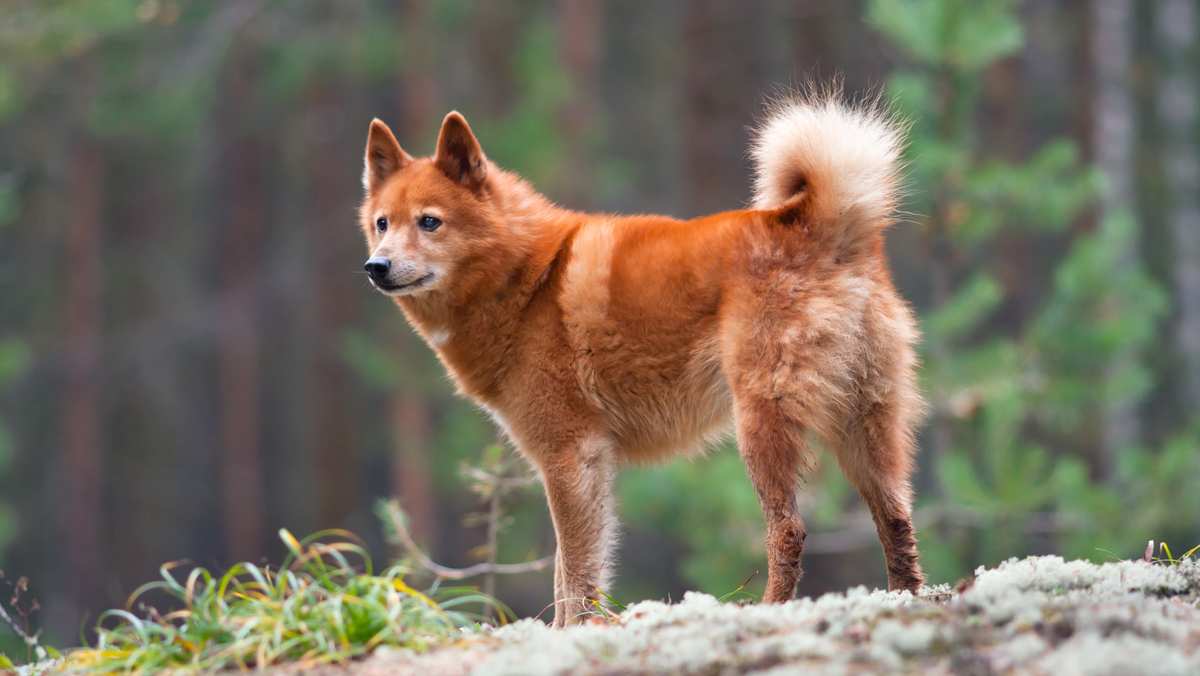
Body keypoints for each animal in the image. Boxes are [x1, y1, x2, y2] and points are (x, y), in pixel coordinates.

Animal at [355, 92, 926, 629]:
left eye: (430, 222)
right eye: (382, 223)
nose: (375, 267)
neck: (527, 278)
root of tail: (819, 225)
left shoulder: (570, 456)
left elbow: (575, 570)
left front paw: (573, 630)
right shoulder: (584, 464)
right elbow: (567, 568)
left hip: (762, 425)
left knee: (789, 530)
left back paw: (769, 606)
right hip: (864, 427)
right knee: (896, 519)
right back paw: (905, 597)